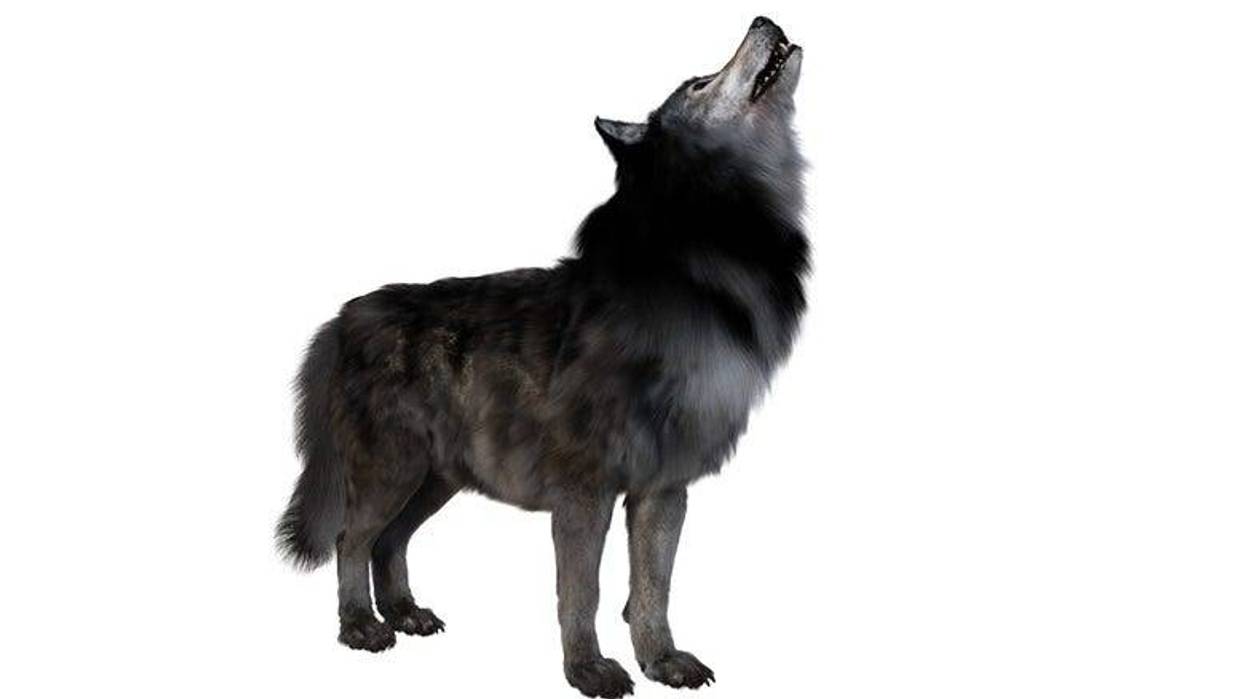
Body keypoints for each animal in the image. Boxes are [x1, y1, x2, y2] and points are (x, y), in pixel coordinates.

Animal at [277, 17, 807, 697]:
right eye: (698, 80)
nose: (765, 21)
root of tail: (340, 320)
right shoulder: (585, 491)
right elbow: (583, 593)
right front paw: (590, 671)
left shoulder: (664, 487)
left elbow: (653, 590)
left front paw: (663, 661)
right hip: (394, 471)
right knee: (351, 539)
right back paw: (362, 628)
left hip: (434, 481)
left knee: (387, 543)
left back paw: (406, 614)